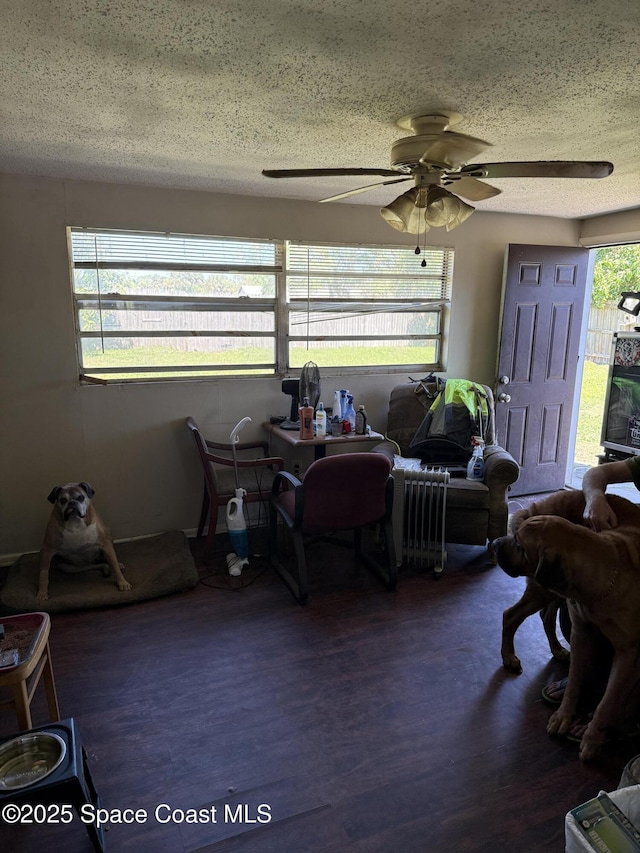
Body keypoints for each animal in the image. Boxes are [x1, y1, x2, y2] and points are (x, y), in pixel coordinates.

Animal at [496, 490, 640, 764]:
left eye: (520, 545)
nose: (495, 543)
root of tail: (532, 507)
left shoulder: (628, 654)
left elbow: (608, 702)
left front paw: (592, 737)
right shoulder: (582, 633)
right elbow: (575, 681)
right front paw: (564, 716)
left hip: (550, 590)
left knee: (542, 615)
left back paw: (555, 649)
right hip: (545, 589)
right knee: (512, 615)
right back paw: (509, 657)